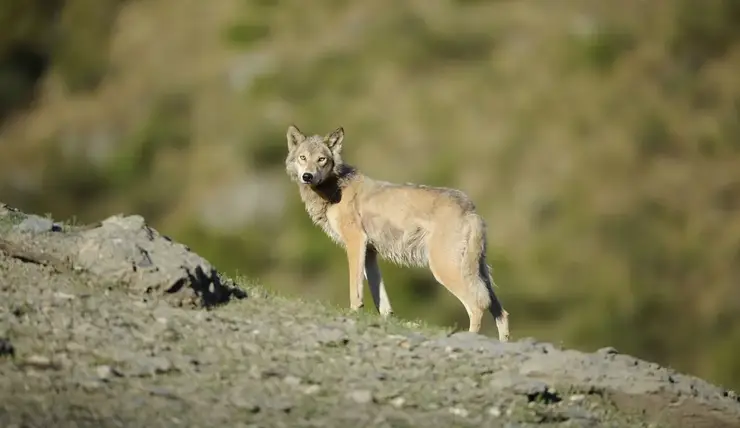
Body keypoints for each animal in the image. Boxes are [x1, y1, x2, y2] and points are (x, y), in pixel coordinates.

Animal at [284, 123, 508, 342]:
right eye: (303, 157)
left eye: (321, 159)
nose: (307, 176)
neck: (335, 188)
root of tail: (470, 209)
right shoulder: (370, 253)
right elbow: (381, 300)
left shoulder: (355, 242)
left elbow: (355, 290)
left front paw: (354, 313)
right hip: (480, 274)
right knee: (501, 313)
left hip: (445, 270)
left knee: (478, 306)